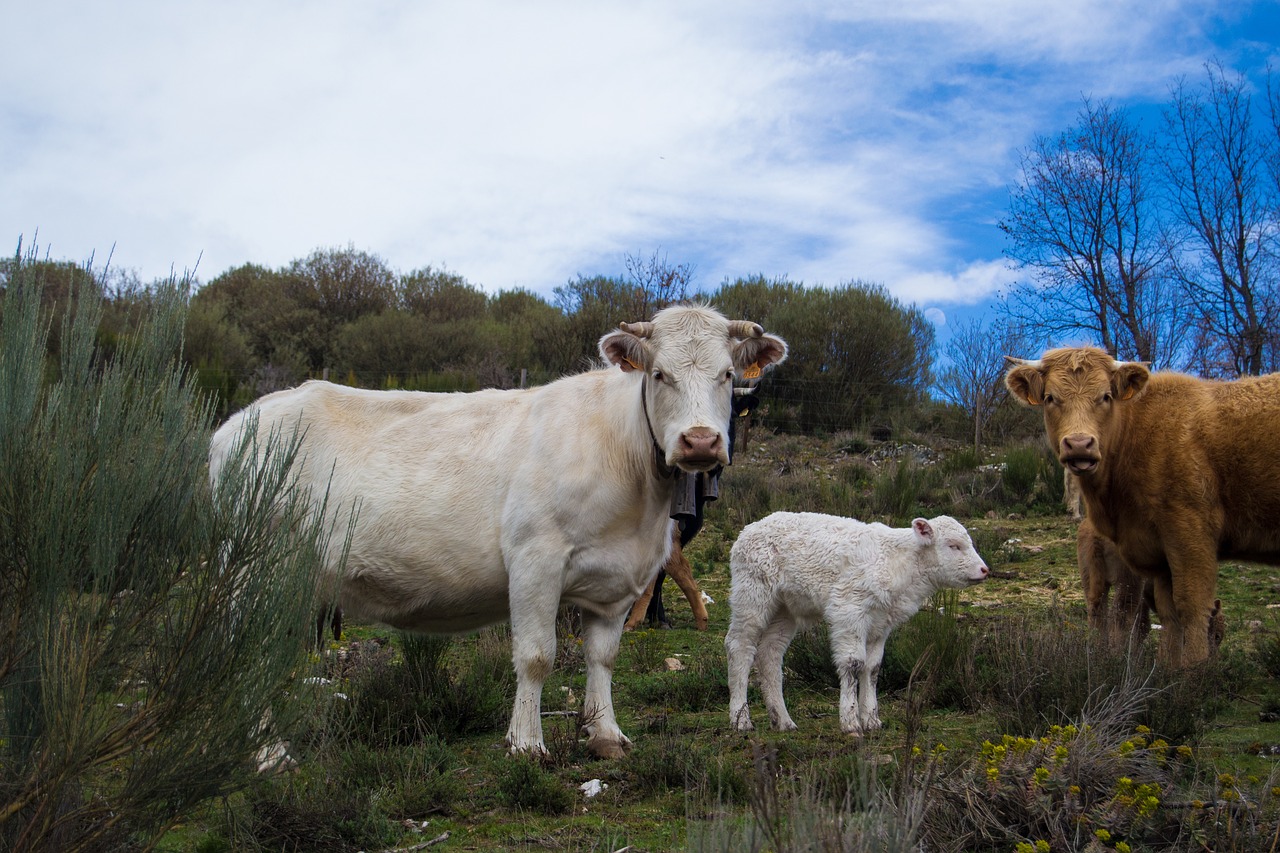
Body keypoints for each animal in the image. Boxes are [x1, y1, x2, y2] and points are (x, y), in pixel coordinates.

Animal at [208, 302, 783, 753]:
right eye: (659, 374)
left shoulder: (616, 580)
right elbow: (536, 657)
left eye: (727, 376)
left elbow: (603, 657)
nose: (701, 441)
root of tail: (240, 422)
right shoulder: (534, 560)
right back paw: (266, 754)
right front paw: (526, 743)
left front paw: (605, 736)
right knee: (244, 654)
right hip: (251, 574)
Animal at [721, 512, 988, 732]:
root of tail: (749, 529)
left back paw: (783, 721)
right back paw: (740, 719)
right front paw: (850, 722)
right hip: (752, 594)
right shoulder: (849, 611)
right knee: (739, 647)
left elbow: (872, 668)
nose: (984, 570)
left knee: (770, 653)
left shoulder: (881, 624)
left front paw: (871, 719)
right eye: (953, 545)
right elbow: (852, 664)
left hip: (785, 609)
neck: (899, 561)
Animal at [1003, 345, 1274, 666]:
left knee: (1102, 611)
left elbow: (1173, 612)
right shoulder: (1181, 543)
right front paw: (1191, 670)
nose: (1080, 444)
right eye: (1050, 397)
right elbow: (1184, 609)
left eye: (1106, 396)